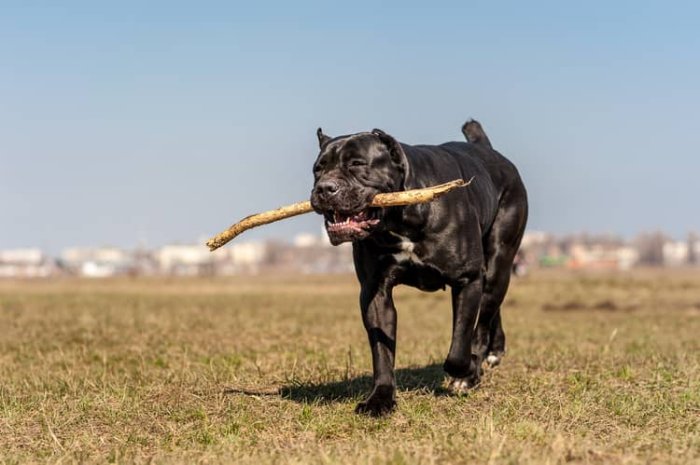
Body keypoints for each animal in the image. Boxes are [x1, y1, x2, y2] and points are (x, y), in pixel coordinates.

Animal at [308, 118, 528, 414]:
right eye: (317, 169)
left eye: (357, 163)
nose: (324, 188)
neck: (399, 218)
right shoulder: (374, 292)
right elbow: (382, 352)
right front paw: (380, 398)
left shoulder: (467, 279)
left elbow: (458, 349)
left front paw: (468, 370)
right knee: (491, 310)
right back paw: (495, 351)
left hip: (498, 261)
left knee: (484, 317)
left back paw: (479, 362)